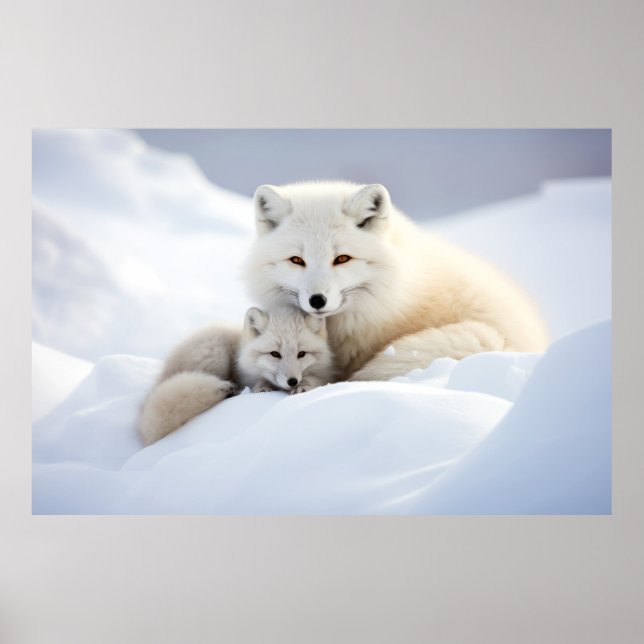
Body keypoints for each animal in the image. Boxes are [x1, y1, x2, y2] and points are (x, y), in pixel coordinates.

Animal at [138, 305, 334, 445]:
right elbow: (259, 380)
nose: (292, 381)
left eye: (301, 354)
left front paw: (304, 385)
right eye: (275, 354)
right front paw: (263, 388)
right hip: (216, 349)